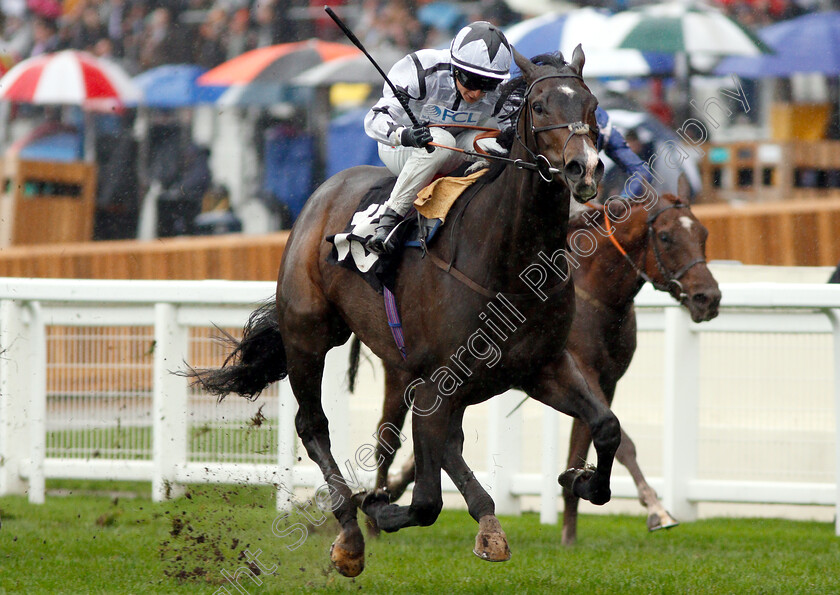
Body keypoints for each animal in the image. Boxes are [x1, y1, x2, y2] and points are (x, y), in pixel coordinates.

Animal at [190, 49, 612, 580]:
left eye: (592, 105)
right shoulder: (439, 381)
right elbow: (427, 502)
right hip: (309, 334)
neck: (510, 261)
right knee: (314, 424)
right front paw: (379, 507)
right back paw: (350, 533)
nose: (584, 168)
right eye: (538, 106)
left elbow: (606, 426)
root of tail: (324, 190)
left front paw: (579, 478)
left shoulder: (542, 367)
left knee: (445, 441)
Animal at [354, 189, 720, 544]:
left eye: (704, 234)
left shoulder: (602, 381)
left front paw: (573, 522)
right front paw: (653, 510)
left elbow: (593, 442)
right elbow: (623, 445)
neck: (598, 296)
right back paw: (375, 519)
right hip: (404, 376)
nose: (709, 298)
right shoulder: (583, 372)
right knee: (387, 440)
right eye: (666, 237)